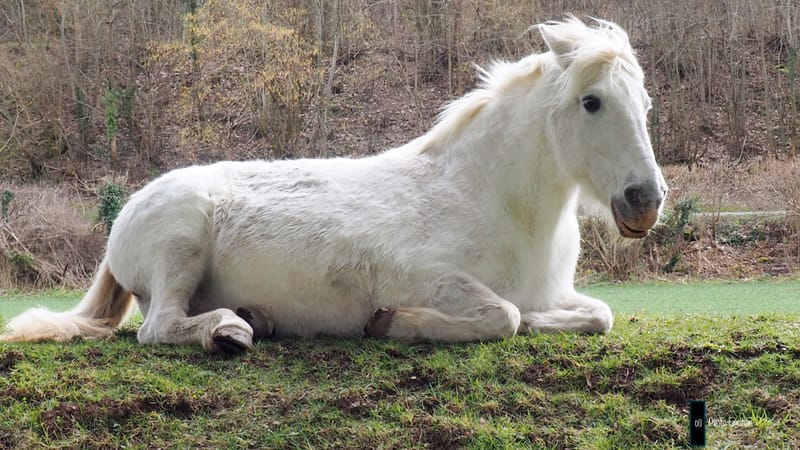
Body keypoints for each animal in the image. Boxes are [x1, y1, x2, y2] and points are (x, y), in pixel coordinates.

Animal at [1, 17, 667, 352]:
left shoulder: (558, 295)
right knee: (158, 327)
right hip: (179, 243)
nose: (646, 202)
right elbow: (501, 315)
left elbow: (598, 314)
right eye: (591, 102)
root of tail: (128, 211)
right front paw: (391, 322)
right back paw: (229, 331)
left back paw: (252, 319)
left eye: (646, 104)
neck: (485, 199)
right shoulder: (434, 278)